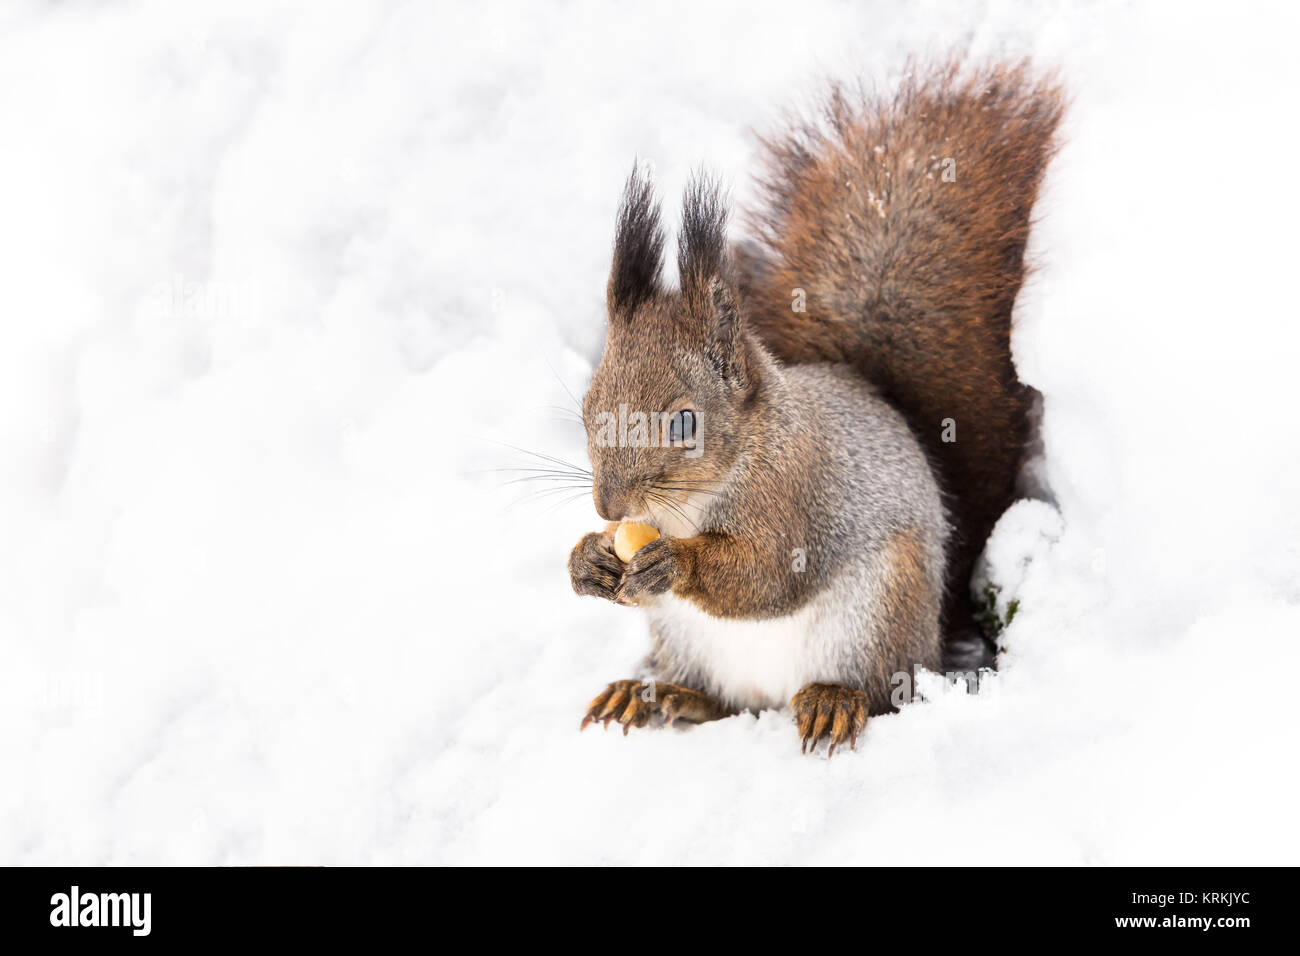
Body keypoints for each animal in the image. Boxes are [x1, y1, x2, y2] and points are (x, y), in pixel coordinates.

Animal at [568, 61, 1063, 755]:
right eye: (587, 410)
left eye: (685, 422)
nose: (610, 509)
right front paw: (585, 558)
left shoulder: (796, 492)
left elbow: (768, 576)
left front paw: (676, 561)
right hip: (685, 636)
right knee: (720, 702)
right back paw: (656, 694)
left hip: (877, 614)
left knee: (879, 693)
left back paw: (833, 700)